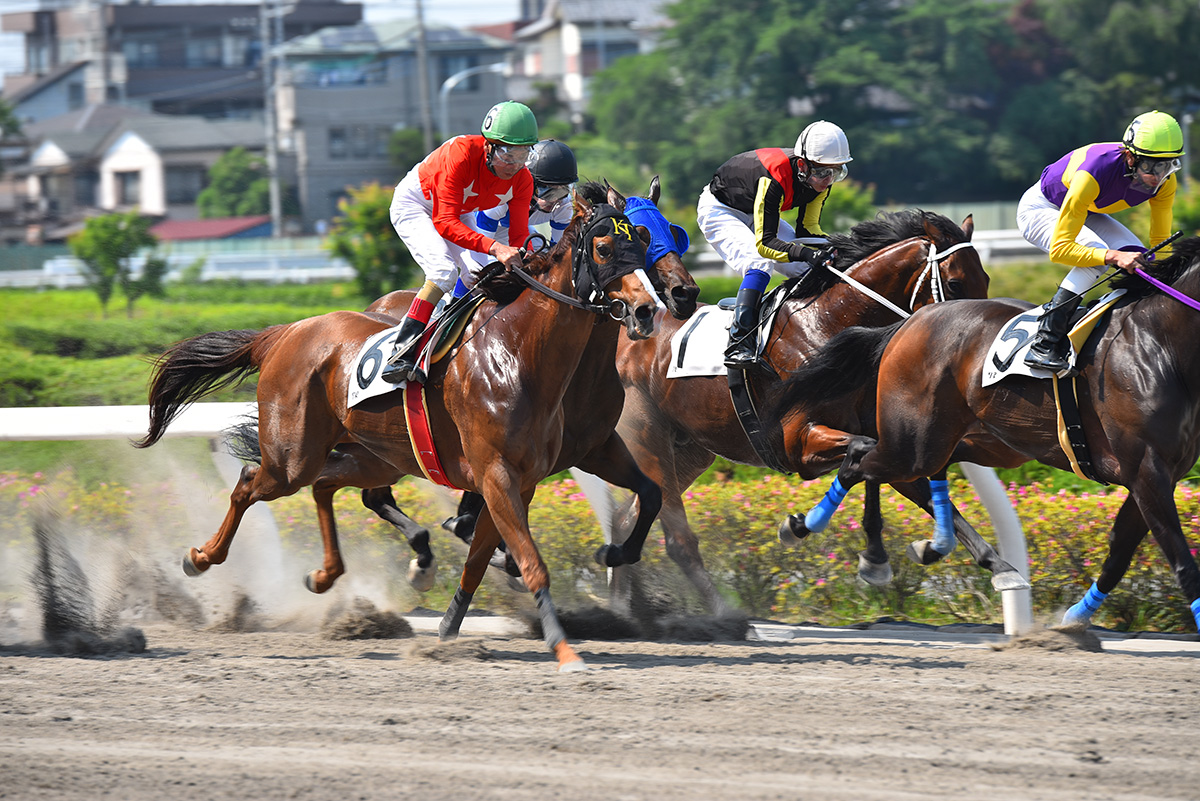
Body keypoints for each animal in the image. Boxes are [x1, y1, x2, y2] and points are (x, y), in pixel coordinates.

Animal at [138, 196, 667, 671]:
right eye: (604, 247)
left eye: (643, 244)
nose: (647, 310)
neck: (518, 355)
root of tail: (284, 332)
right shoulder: (496, 475)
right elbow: (529, 560)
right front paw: (565, 651)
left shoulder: (525, 479)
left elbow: (481, 557)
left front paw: (447, 631)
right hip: (293, 456)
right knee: (251, 483)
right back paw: (201, 558)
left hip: (374, 454)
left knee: (327, 485)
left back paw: (326, 575)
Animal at [609, 208, 1032, 613]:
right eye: (957, 283)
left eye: (986, 278)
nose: (982, 334)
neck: (828, 325)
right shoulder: (796, 441)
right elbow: (860, 453)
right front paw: (806, 529)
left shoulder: (887, 441)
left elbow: (891, 475)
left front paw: (998, 567)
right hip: (649, 438)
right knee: (676, 538)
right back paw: (719, 613)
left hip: (691, 450)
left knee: (628, 517)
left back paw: (628, 605)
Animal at [792, 235, 1200, 633]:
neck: (1160, 346)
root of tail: (910, 321)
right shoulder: (1145, 469)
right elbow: (1182, 560)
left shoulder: (1158, 473)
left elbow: (1119, 552)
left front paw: (1074, 618)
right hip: (915, 443)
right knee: (862, 462)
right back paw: (829, 535)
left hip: (970, 441)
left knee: (891, 464)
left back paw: (931, 547)